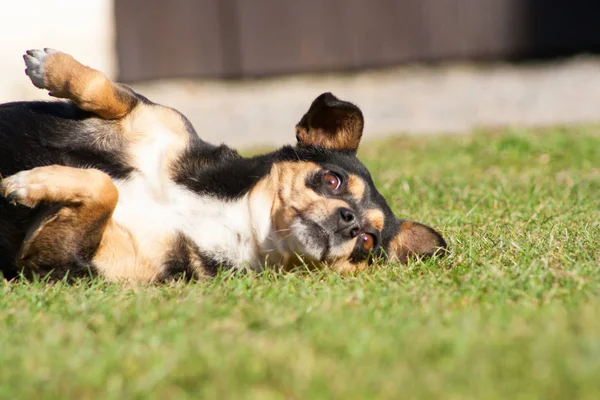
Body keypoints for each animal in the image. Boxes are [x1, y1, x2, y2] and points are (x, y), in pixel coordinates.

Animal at [0, 49, 446, 282]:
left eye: (367, 243)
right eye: (332, 180)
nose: (351, 223)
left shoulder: (59, 265)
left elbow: (102, 188)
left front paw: (29, 183)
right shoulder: (151, 120)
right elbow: (105, 90)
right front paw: (50, 66)